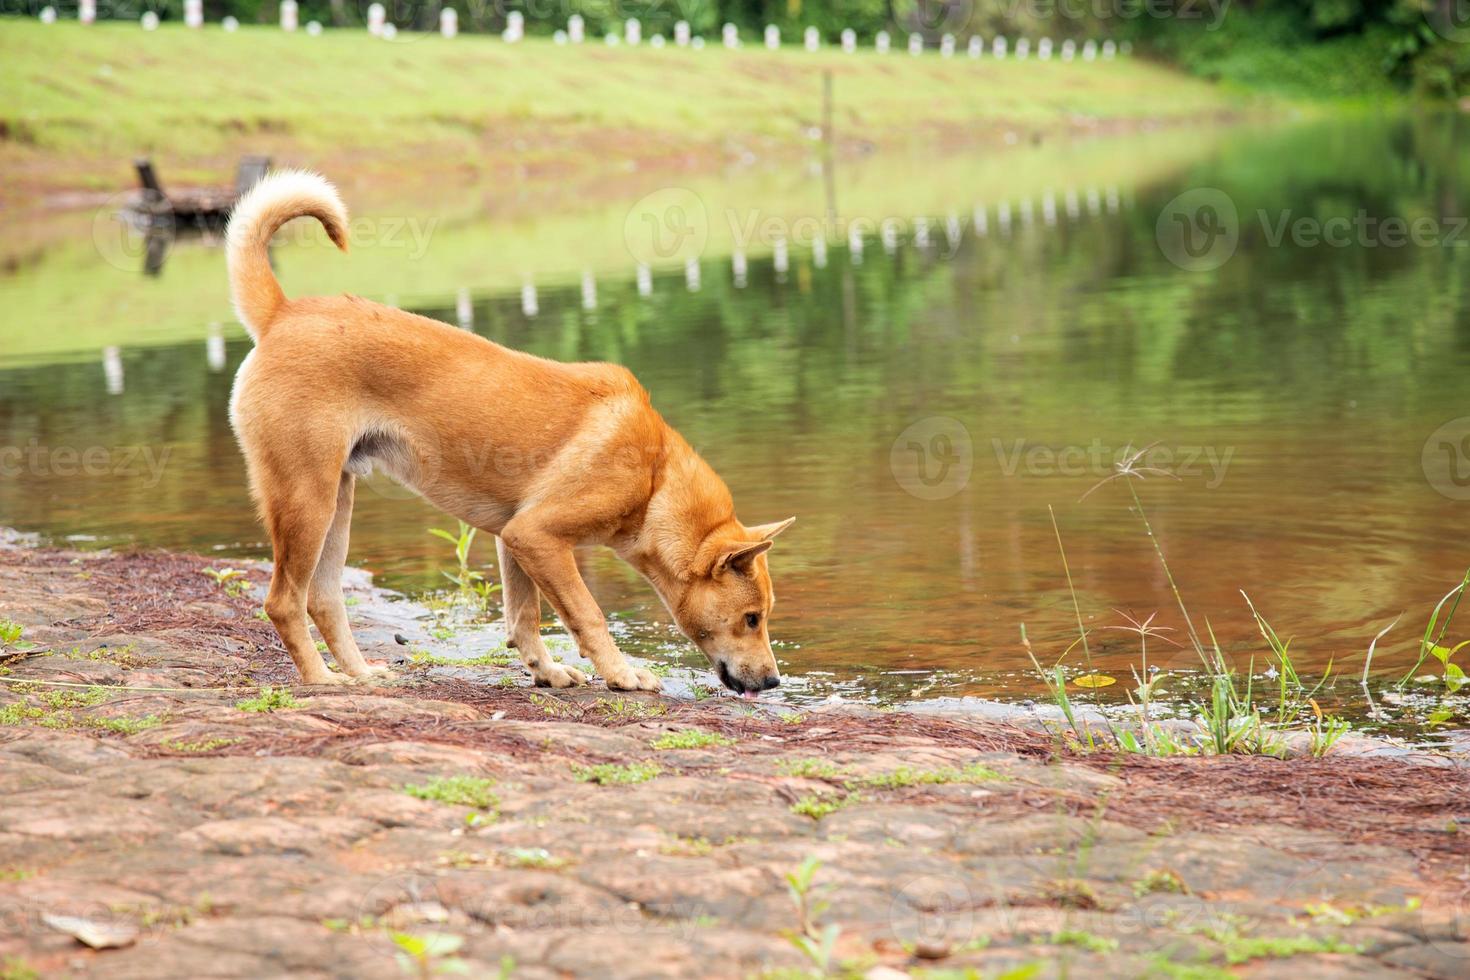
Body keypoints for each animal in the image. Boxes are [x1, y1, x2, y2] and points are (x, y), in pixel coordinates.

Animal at [229, 172, 799, 696]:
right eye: (752, 617)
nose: (773, 681)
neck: (655, 477)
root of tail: (282, 312)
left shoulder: (514, 539)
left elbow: (524, 619)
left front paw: (546, 672)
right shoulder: (539, 536)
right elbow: (587, 615)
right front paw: (620, 674)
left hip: (336, 503)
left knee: (324, 599)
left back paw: (360, 672)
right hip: (306, 498)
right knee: (283, 602)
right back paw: (321, 678)